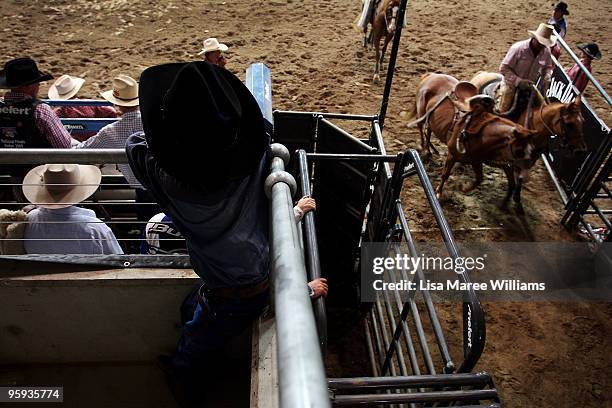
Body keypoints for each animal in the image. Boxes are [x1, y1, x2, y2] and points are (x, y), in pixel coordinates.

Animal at [468, 71, 588, 207]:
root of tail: (484, 73)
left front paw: (516, 198)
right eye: (569, 124)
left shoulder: (532, 159)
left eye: (582, 121)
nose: (580, 150)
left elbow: (520, 177)